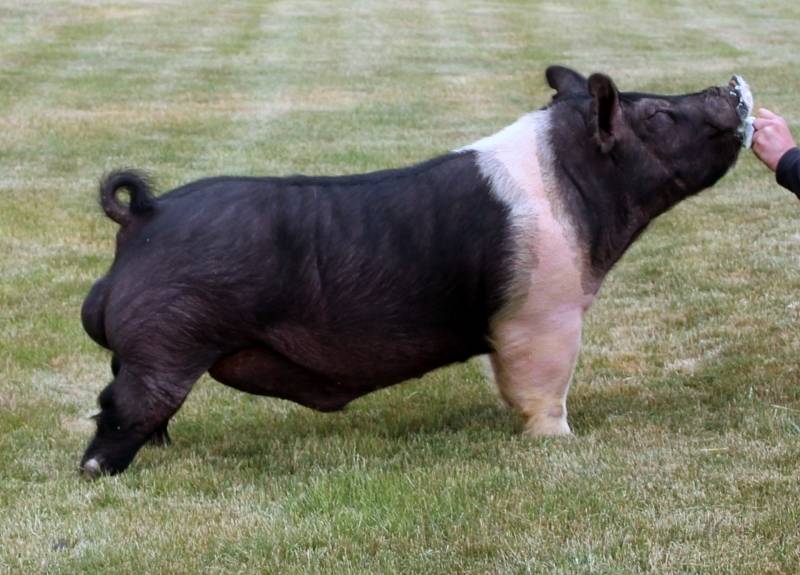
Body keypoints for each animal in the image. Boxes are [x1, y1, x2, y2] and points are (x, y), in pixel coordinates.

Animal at [79, 67, 753, 477]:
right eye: (659, 115)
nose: (726, 87)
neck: (576, 183)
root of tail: (145, 214)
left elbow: (508, 381)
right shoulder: (546, 313)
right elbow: (546, 386)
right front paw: (560, 443)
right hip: (167, 341)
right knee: (121, 404)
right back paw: (100, 472)